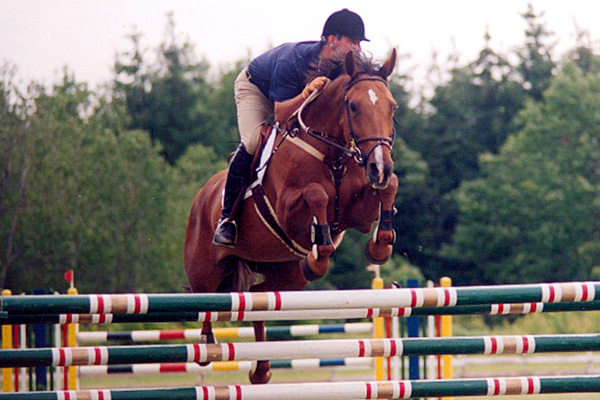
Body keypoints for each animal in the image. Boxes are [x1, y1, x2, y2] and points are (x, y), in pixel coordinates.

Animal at [183, 50, 398, 384]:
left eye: (392, 107)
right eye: (353, 106)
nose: (380, 166)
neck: (331, 152)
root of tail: (203, 195)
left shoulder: (358, 214)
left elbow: (389, 188)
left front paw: (380, 246)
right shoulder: (286, 209)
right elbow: (317, 194)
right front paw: (319, 252)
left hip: (286, 273)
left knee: (258, 298)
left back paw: (261, 369)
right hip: (204, 268)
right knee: (206, 301)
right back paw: (208, 346)